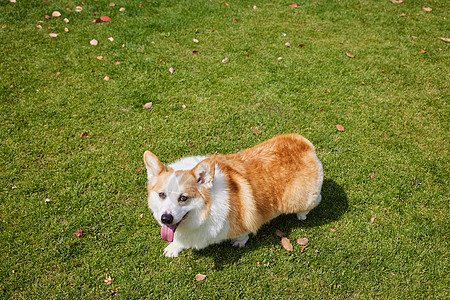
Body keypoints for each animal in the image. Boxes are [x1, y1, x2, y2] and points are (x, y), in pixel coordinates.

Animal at [142, 134, 322, 258]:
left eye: (184, 198)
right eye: (162, 194)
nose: (165, 219)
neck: (205, 211)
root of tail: (305, 143)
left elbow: (245, 231)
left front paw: (239, 241)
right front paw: (174, 247)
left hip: (297, 201)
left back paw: (302, 215)